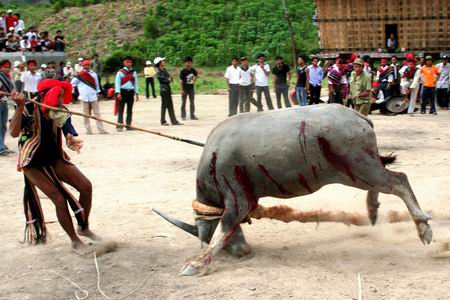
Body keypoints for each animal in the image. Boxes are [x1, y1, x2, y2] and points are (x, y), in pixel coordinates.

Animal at [155, 104, 432, 276]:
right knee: (384, 185)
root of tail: (360, 117)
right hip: (361, 171)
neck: (214, 157)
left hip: (359, 168)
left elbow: (223, 230)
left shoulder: (238, 199)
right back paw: (372, 210)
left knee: (399, 181)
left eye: (204, 232)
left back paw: (423, 229)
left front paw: (197, 264)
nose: (243, 251)